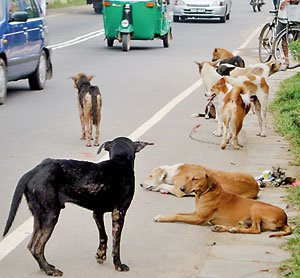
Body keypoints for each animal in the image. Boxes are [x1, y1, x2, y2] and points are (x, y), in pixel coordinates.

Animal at [4, 137, 155, 276]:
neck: (120, 161)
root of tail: (34, 171)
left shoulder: (97, 213)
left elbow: (103, 236)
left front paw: (101, 254)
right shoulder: (119, 213)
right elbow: (116, 243)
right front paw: (118, 265)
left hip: (39, 216)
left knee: (31, 246)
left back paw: (45, 267)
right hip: (51, 215)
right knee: (37, 247)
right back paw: (49, 270)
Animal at [155, 164, 292, 238]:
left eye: (195, 179)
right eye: (188, 178)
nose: (182, 189)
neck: (205, 193)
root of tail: (285, 219)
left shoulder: (198, 218)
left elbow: (178, 217)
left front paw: (162, 218)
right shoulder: (196, 213)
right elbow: (178, 213)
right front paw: (163, 216)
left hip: (256, 207)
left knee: (256, 230)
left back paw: (232, 229)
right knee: (245, 226)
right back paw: (223, 228)